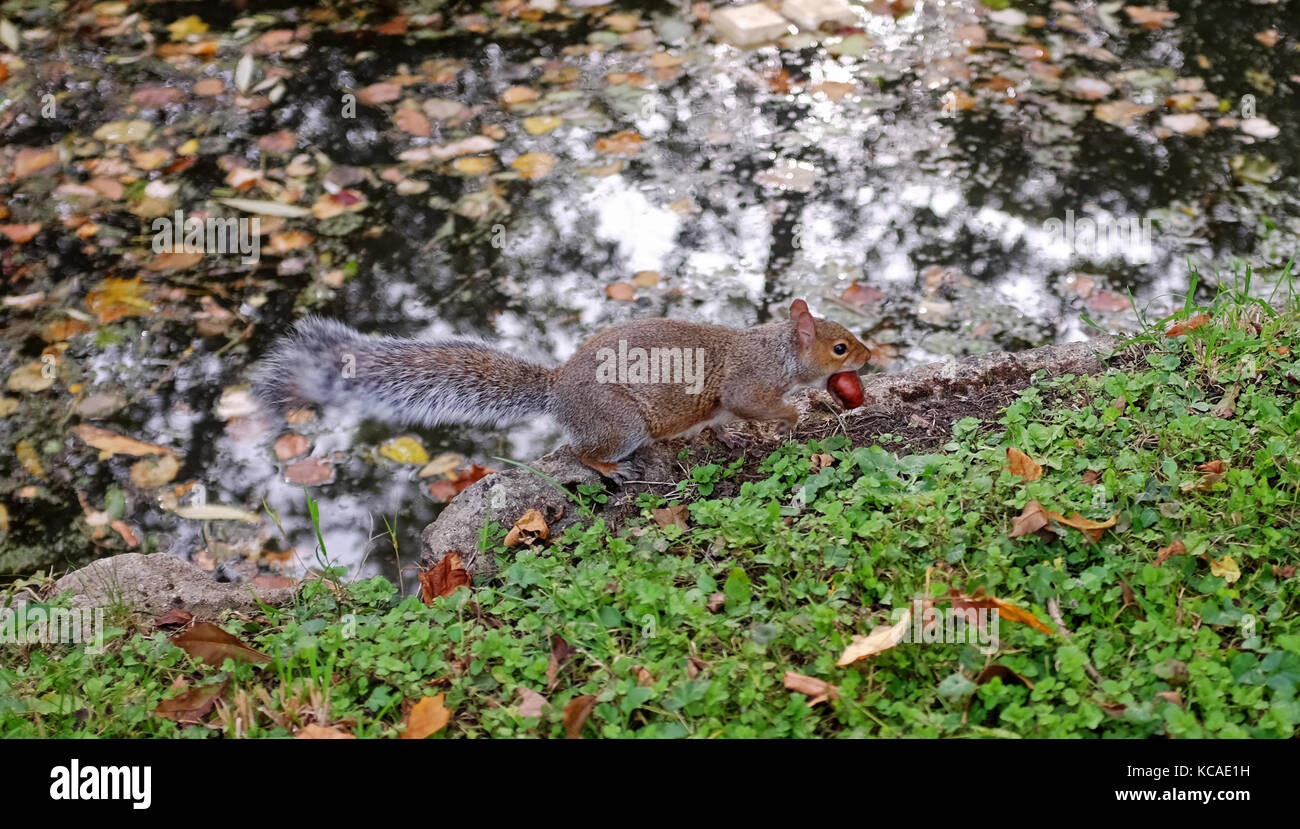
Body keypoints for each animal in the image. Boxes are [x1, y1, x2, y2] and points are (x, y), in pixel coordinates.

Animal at [249, 298, 868, 480]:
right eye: (840, 347)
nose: (870, 356)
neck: (778, 349)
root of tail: (556, 390)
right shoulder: (749, 383)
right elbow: (751, 406)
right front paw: (795, 415)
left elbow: (720, 424)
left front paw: (731, 438)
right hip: (619, 423)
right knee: (580, 452)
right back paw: (613, 470)